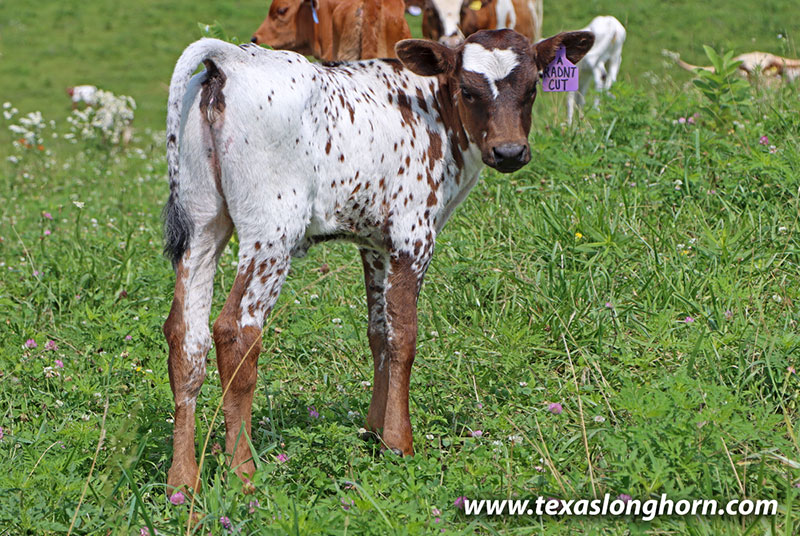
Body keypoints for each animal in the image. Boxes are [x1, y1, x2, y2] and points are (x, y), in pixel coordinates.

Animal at [162, 28, 594, 492]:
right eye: (468, 90)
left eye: (532, 88)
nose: (510, 151)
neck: (431, 106)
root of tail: (228, 58)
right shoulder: (413, 235)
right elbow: (403, 337)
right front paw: (399, 442)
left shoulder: (374, 244)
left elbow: (379, 332)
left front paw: (374, 430)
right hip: (272, 229)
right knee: (236, 332)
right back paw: (242, 470)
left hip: (203, 223)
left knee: (186, 337)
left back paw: (182, 481)